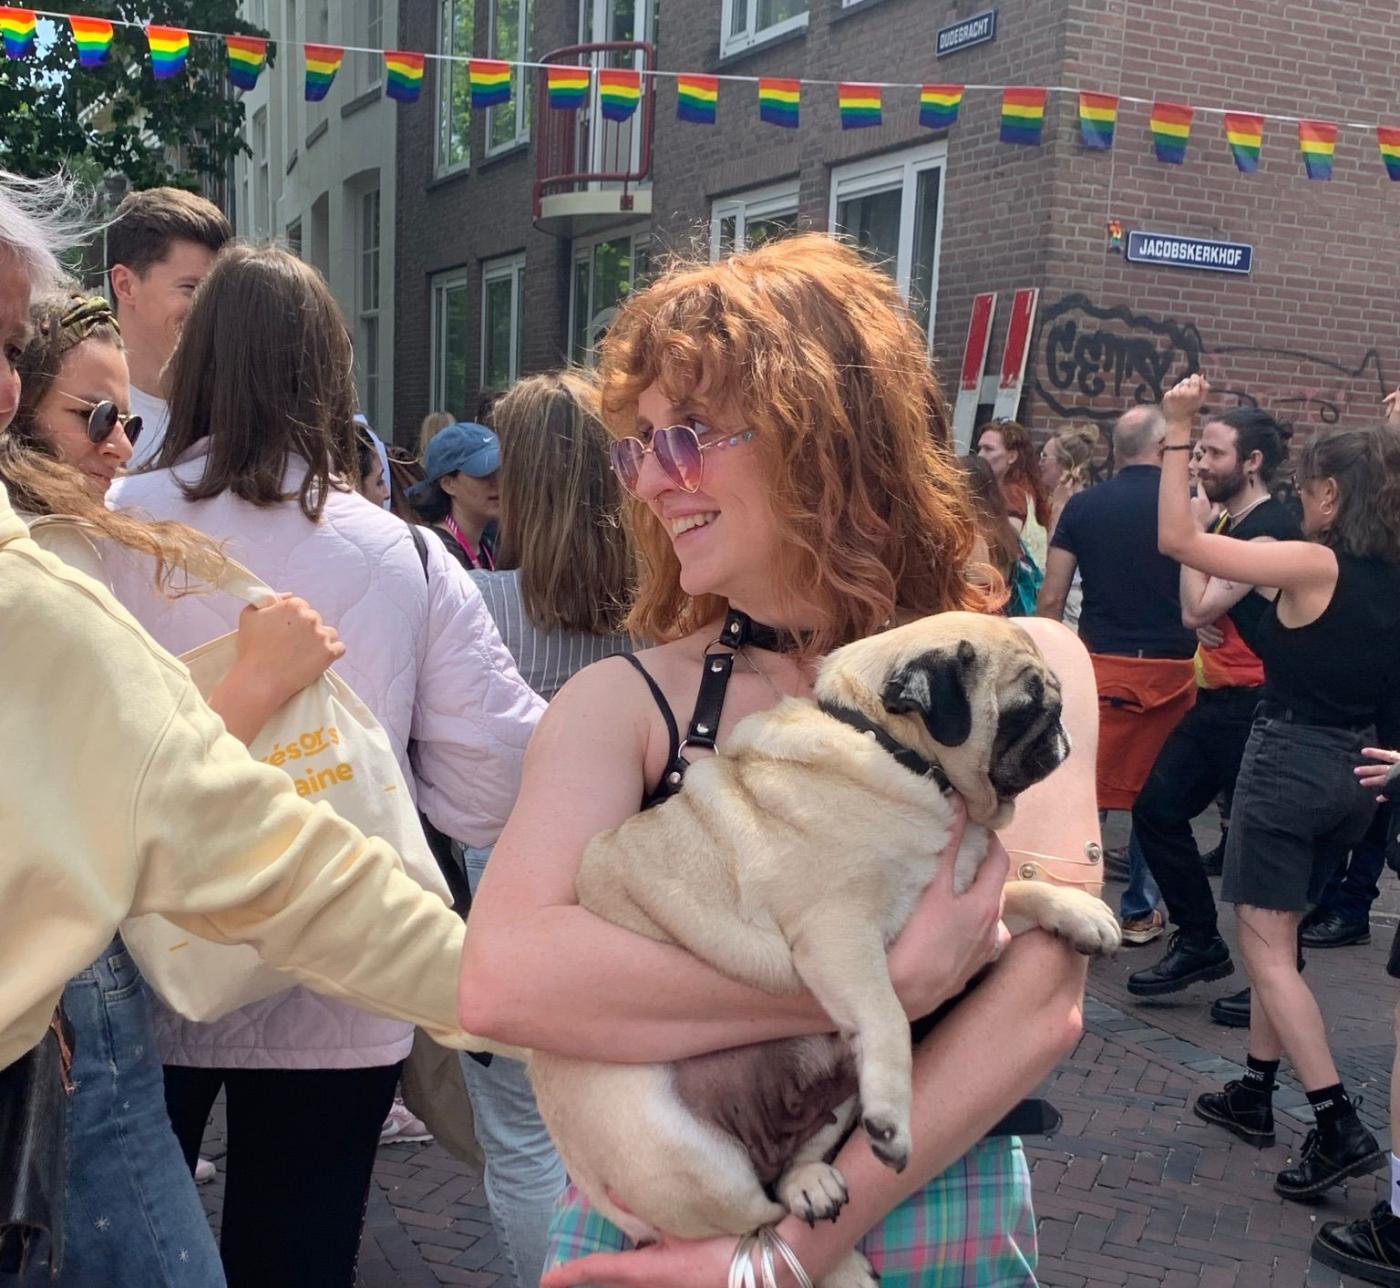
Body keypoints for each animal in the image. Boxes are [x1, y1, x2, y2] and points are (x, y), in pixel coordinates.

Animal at [529, 613, 1120, 1288]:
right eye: (1026, 706)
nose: (1063, 733)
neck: (898, 755)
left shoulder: (970, 907)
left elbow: (1020, 892)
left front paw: (1080, 914)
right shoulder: (839, 933)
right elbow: (889, 1018)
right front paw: (895, 1117)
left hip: (834, 1097)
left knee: (791, 1176)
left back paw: (811, 1182)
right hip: (682, 1156)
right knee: (752, 1226)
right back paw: (837, 1262)